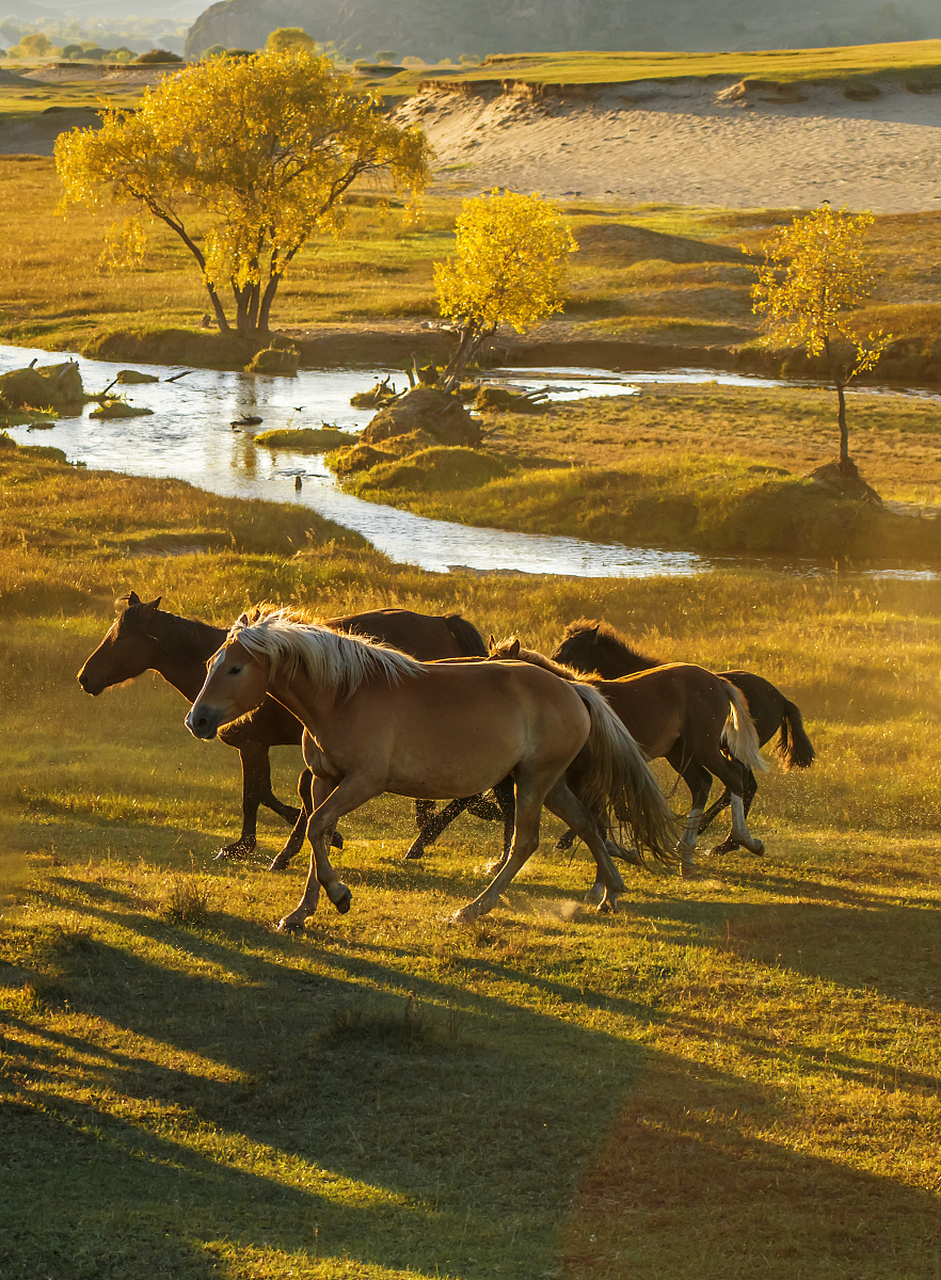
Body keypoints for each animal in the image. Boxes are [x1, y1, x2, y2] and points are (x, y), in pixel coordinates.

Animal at [78, 596, 506, 860]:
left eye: (121, 637)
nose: (85, 678)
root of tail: (444, 624)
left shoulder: (252, 745)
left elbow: (255, 796)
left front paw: (244, 846)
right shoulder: (262, 748)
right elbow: (271, 793)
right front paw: (318, 834)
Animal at [184, 609, 675, 931]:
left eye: (235, 668)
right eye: (209, 664)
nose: (197, 721)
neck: (345, 696)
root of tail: (574, 688)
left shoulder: (364, 782)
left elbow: (318, 826)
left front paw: (339, 895)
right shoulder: (326, 780)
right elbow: (315, 832)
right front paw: (300, 913)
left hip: (534, 782)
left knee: (525, 843)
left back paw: (473, 909)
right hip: (545, 783)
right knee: (587, 824)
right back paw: (610, 892)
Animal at [489, 634, 768, 875]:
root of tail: (717, 682)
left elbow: (600, 817)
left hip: (703, 747)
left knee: (733, 777)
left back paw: (745, 841)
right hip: (679, 752)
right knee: (701, 783)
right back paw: (686, 855)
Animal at [555, 616, 814, 849]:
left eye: (571, 649)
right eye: (561, 646)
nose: (554, 662)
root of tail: (781, 698)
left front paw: (570, 838)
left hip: (721, 749)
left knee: (738, 782)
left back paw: (724, 840)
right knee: (729, 783)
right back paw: (713, 838)